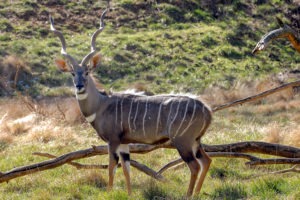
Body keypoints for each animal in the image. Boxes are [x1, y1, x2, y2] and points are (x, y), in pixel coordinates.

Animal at [49, 8, 212, 197]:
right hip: (195, 141)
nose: (79, 86)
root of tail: (207, 109)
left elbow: (112, 166)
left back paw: (188, 194)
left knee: (194, 166)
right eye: (73, 73)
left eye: (88, 72)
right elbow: (126, 168)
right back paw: (197, 193)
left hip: (182, 141)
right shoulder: (124, 143)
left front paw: (109, 192)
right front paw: (129, 194)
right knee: (206, 160)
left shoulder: (113, 140)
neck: (101, 104)